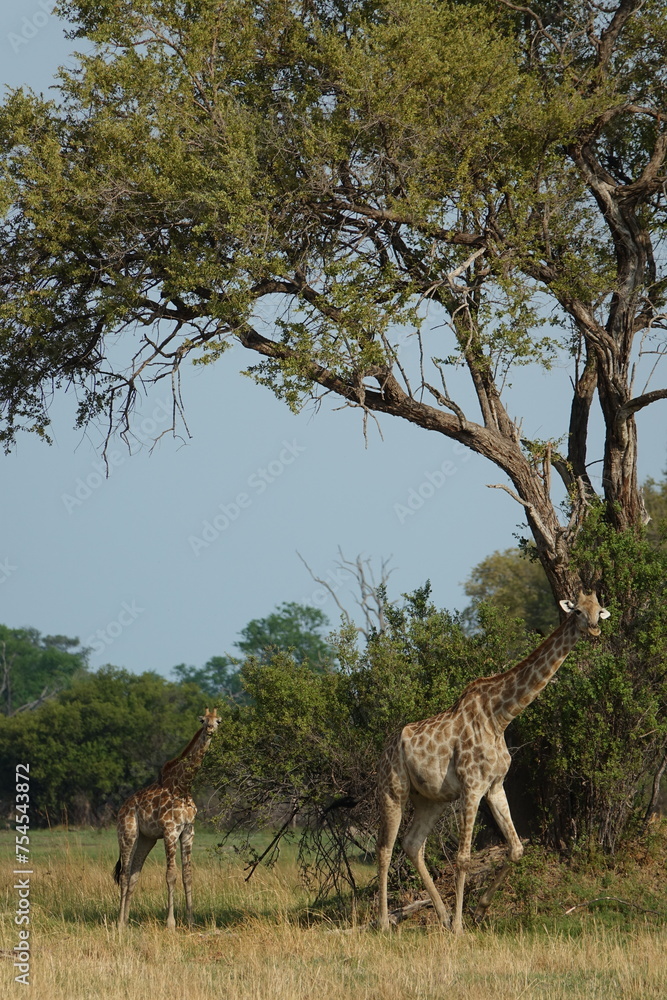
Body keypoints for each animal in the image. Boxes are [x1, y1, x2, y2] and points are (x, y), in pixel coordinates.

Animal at [114, 707, 221, 930]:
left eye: (219, 721)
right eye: (202, 720)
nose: (209, 730)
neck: (183, 787)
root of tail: (121, 809)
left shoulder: (188, 831)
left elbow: (187, 875)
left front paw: (190, 921)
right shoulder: (170, 830)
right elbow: (171, 875)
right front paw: (170, 923)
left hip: (146, 839)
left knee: (134, 874)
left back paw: (126, 920)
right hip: (128, 834)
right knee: (124, 875)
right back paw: (119, 923)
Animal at [376, 592, 610, 934]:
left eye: (598, 610)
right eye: (578, 611)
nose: (593, 629)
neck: (500, 717)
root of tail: (388, 746)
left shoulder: (495, 786)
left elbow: (516, 848)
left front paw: (479, 910)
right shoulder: (472, 787)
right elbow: (463, 858)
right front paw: (460, 926)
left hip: (431, 799)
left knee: (412, 843)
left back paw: (442, 915)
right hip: (393, 789)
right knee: (385, 849)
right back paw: (384, 922)